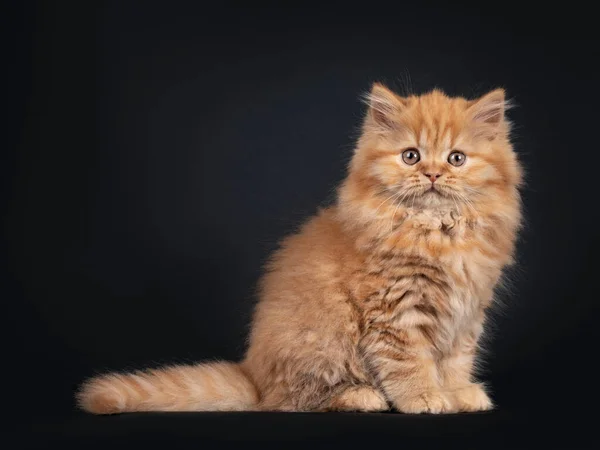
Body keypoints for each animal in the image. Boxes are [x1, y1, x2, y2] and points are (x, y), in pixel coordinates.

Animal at [78, 81, 520, 414]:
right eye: (411, 156)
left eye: (456, 158)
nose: (432, 174)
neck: (437, 231)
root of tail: (255, 376)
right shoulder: (396, 312)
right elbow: (410, 364)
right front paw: (425, 398)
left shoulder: (467, 312)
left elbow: (456, 361)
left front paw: (457, 393)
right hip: (323, 343)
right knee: (294, 400)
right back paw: (361, 396)